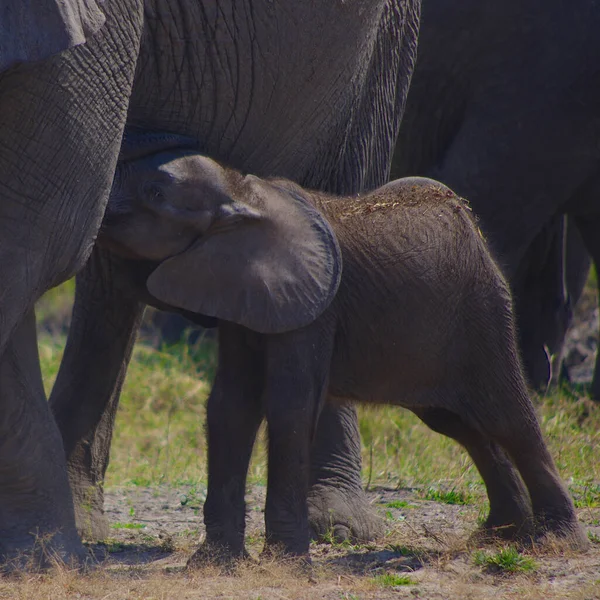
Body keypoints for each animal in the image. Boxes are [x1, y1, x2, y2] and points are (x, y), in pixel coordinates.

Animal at [101, 150, 588, 564]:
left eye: (155, 194)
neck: (241, 194)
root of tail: (464, 217)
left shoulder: (315, 310)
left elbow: (289, 406)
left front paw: (288, 563)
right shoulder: (238, 293)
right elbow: (230, 404)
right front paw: (216, 564)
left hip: (483, 314)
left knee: (510, 419)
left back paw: (558, 541)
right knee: (460, 425)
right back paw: (499, 535)